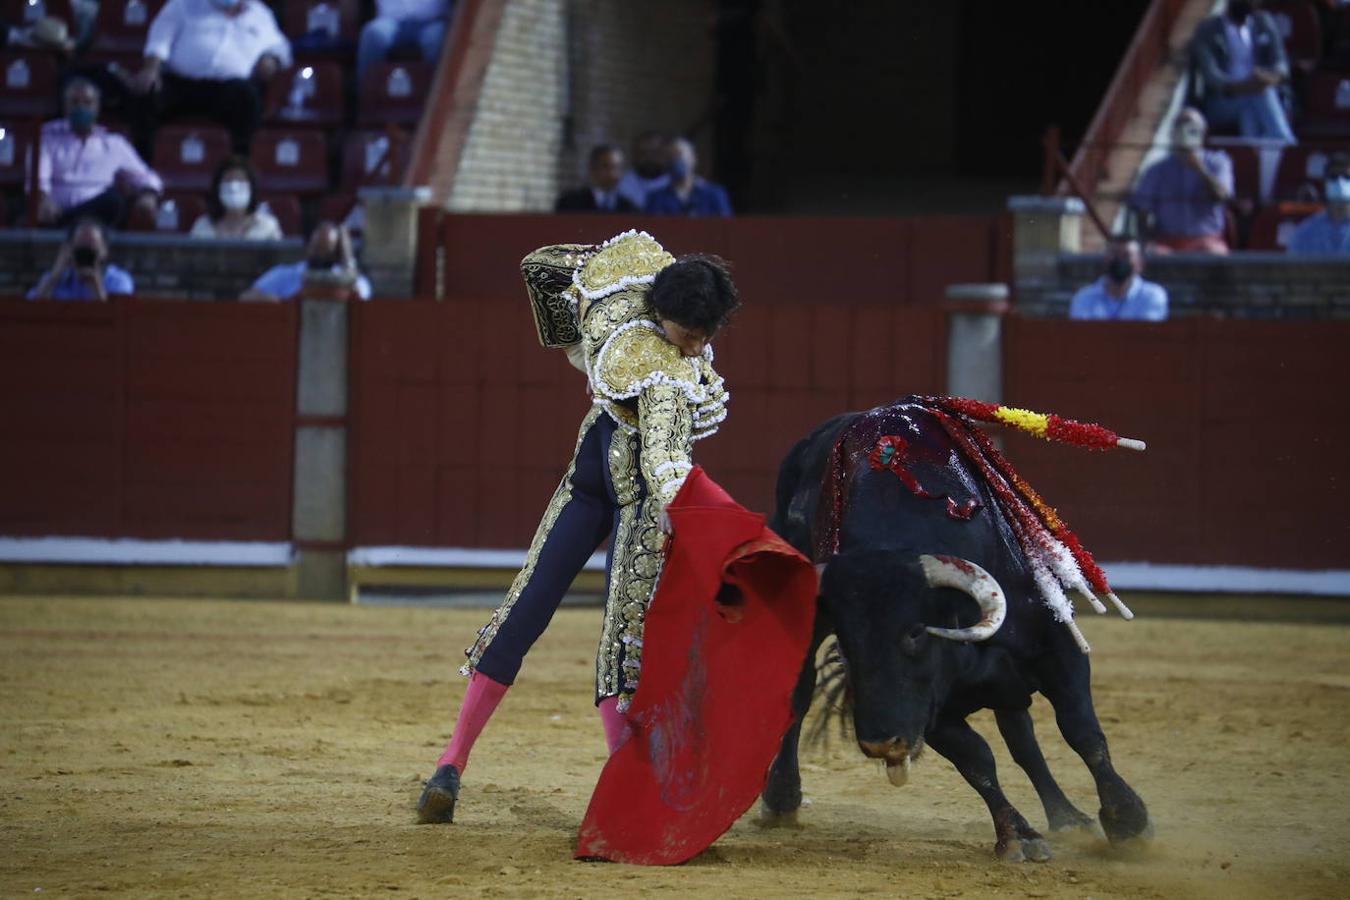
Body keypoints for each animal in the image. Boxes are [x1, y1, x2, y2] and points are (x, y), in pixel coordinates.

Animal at [761, 399, 1150, 858]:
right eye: (848, 646)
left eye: (915, 632)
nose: (880, 742)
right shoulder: (931, 707)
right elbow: (977, 761)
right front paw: (1018, 836)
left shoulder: (1059, 650)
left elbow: (1081, 731)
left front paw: (1127, 821)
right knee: (800, 693)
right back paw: (781, 797)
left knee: (1022, 735)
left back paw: (1067, 817)